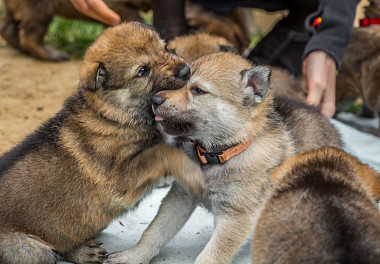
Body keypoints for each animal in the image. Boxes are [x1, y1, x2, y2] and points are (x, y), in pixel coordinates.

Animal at [0, 0, 151, 60]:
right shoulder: (117, 6)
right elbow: (131, 15)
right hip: (40, 8)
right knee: (30, 36)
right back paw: (53, 55)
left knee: (7, 26)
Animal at [0, 22, 208, 264]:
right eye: (143, 71)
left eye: (164, 48)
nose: (186, 70)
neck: (113, 114)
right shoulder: (122, 180)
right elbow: (164, 152)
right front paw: (195, 178)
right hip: (30, 249)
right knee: (55, 249)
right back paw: (82, 252)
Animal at [104, 52, 342, 264]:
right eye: (183, 81)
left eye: (198, 90)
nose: (155, 99)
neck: (218, 154)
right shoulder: (181, 197)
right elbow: (154, 232)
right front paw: (132, 256)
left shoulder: (235, 218)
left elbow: (211, 256)